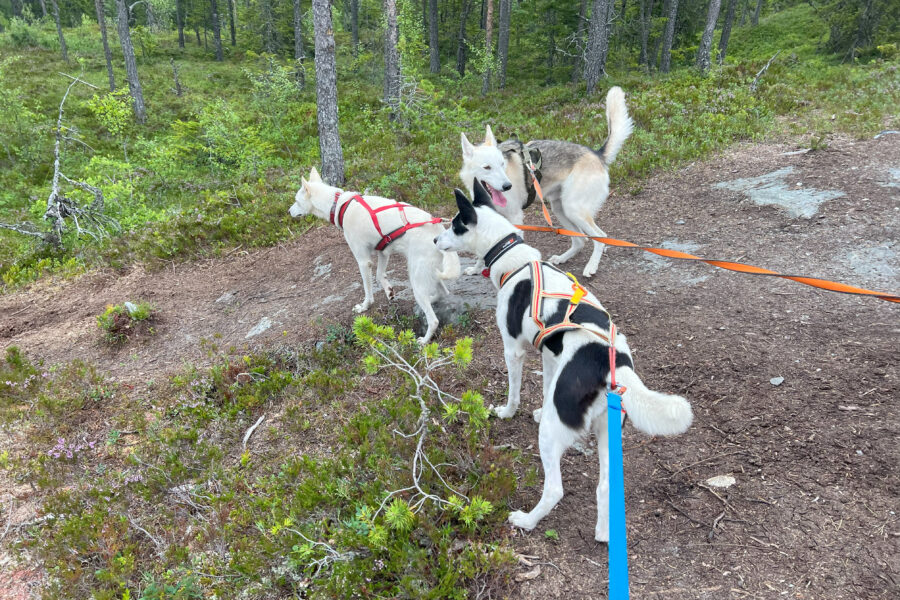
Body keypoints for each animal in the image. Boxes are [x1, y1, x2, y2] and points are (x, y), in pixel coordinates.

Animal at [292, 166, 460, 342]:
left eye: (296, 201)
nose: (289, 211)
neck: (338, 204)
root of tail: (439, 234)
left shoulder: (363, 261)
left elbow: (368, 290)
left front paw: (364, 306)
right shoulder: (383, 251)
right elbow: (380, 275)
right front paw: (389, 291)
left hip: (417, 278)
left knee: (433, 320)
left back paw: (424, 340)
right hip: (428, 274)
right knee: (442, 293)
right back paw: (430, 299)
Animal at [432, 180, 692, 540]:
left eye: (455, 225)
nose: (434, 239)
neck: (513, 260)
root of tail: (609, 363)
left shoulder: (513, 349)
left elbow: (513, 392)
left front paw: (506, 412)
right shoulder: (550, 356)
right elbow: (544, 389)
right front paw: (540, 408)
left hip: (553, 436)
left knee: (555, 489)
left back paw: (527, 520)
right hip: (607, 432)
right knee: (605, 487)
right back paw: (603, 533)